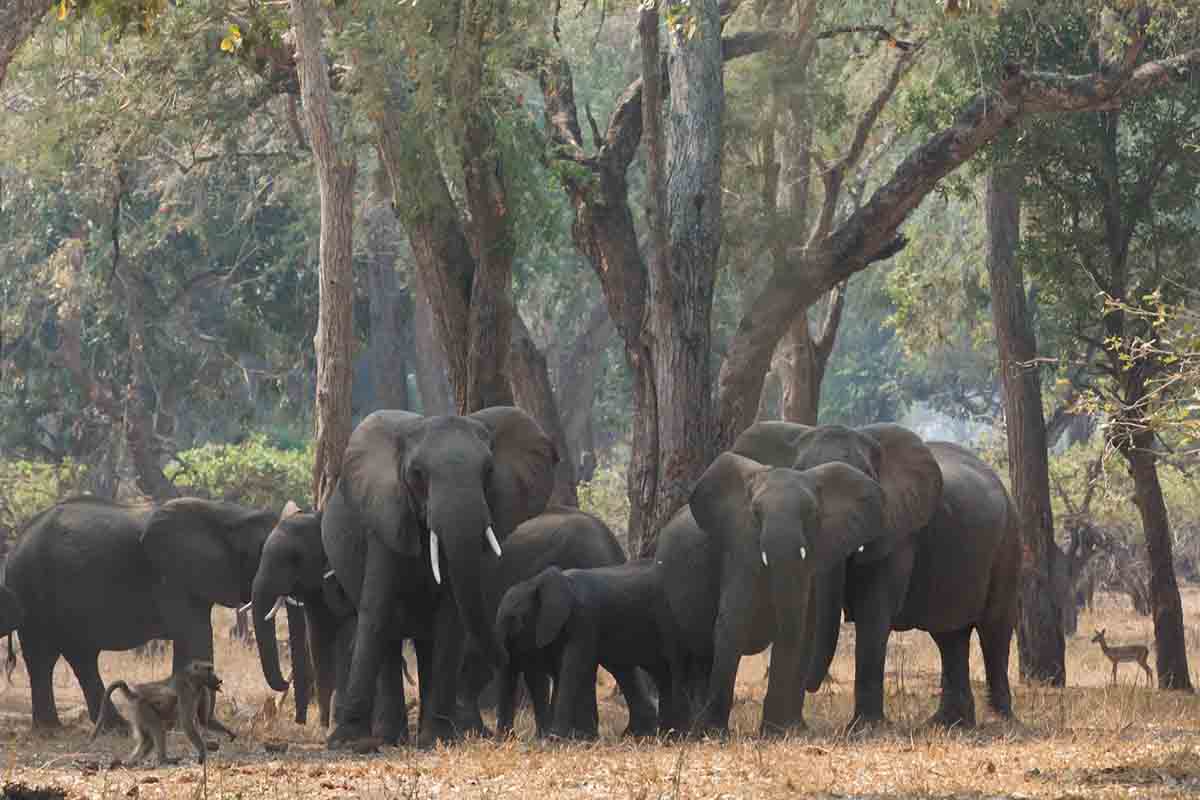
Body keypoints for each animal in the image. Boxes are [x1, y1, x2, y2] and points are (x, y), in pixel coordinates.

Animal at [324, 410, 556, 748]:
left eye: (488, 471)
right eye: (417, 473)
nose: (508, 652)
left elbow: (451, 615)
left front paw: (439, 739)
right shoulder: (386, 518)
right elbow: (377, 608)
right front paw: (347, 741)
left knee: (426, 642)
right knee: (389, 637)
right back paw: (390, 739)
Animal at [494, 563, 686, 738]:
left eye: (517, 620)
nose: (506, 739)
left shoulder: (584, 619)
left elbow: (573, 668)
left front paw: (558, 738)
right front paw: (567, 738)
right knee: (639, 671)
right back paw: (644, 735)